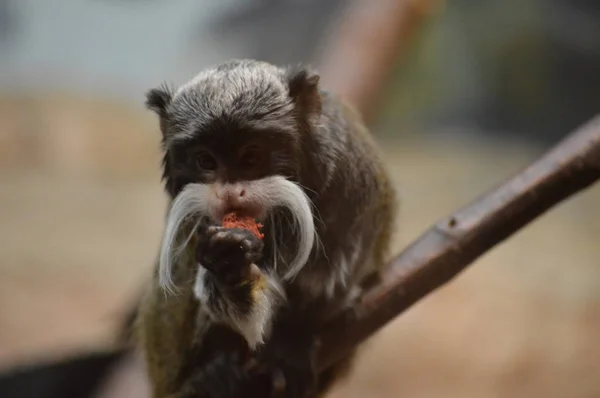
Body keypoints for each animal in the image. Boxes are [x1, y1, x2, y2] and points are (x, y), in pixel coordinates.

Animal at [136, 59, 398, 398]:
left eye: (251, 156)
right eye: (206, 161)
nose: (231, 193)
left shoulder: (351, 180)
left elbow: (331, 279)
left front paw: (291, 344)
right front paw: (228, 267)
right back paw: (212, 374)